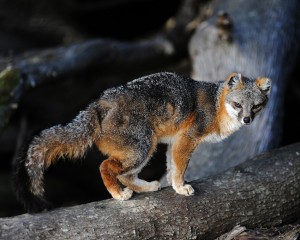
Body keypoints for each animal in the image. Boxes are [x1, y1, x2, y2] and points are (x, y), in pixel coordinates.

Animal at [13, 71, 272, 212]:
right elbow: (179, 167)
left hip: (145, 147)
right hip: (144, 146)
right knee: (106, 166)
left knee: (125, 175)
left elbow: (172, 167)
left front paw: (175, 185)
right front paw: (181, 187)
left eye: (256, 106)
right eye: (237, 105)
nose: (247, 119)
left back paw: (145, 187)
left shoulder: (175, 140)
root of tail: (99, 102)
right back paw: (118, 194)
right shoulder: (188, 138)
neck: (217, 105)